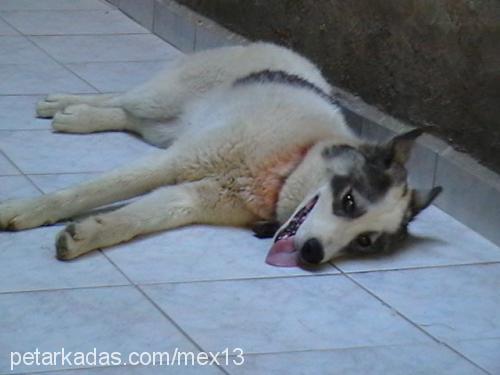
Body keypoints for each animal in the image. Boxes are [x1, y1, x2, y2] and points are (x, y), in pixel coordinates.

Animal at [0, 42, 442, 268]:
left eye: (365, 242)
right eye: (348, 201)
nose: (313, 255)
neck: (288, 162)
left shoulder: (188, 198)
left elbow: (133, 219)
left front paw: (88, 234)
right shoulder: (173, 163)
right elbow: (87, 192)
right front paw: (26, 210)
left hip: (163, 128)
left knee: (127, 117)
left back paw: (79, 115)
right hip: (162, 100)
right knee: (123, 99)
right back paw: (67, 108)